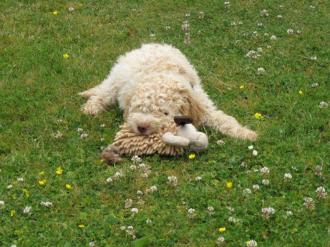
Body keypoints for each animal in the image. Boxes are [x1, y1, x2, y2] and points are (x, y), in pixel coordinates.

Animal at [80, 43, 258, 141]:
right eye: (139, 108)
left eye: (165, 113)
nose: (141, 127)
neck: (162, 72)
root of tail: (146, 46)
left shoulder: (202, 104)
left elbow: (224, 120)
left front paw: (245, 133)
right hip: (116, 81)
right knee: (103, 93)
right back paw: (91, 107)